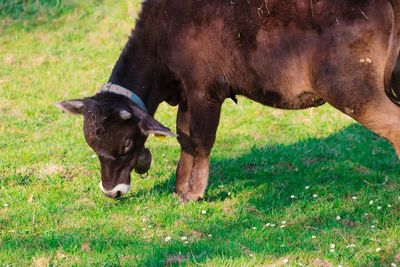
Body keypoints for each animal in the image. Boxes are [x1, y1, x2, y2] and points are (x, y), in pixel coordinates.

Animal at [57, 0, 400, 201]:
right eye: (93, 145)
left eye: (126, 145)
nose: (110, 191)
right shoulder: (187, 94)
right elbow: (184, 136)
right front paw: (180, 188)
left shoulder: (204, 89)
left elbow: (201, 139)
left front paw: (193, 193)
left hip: (352, 90)